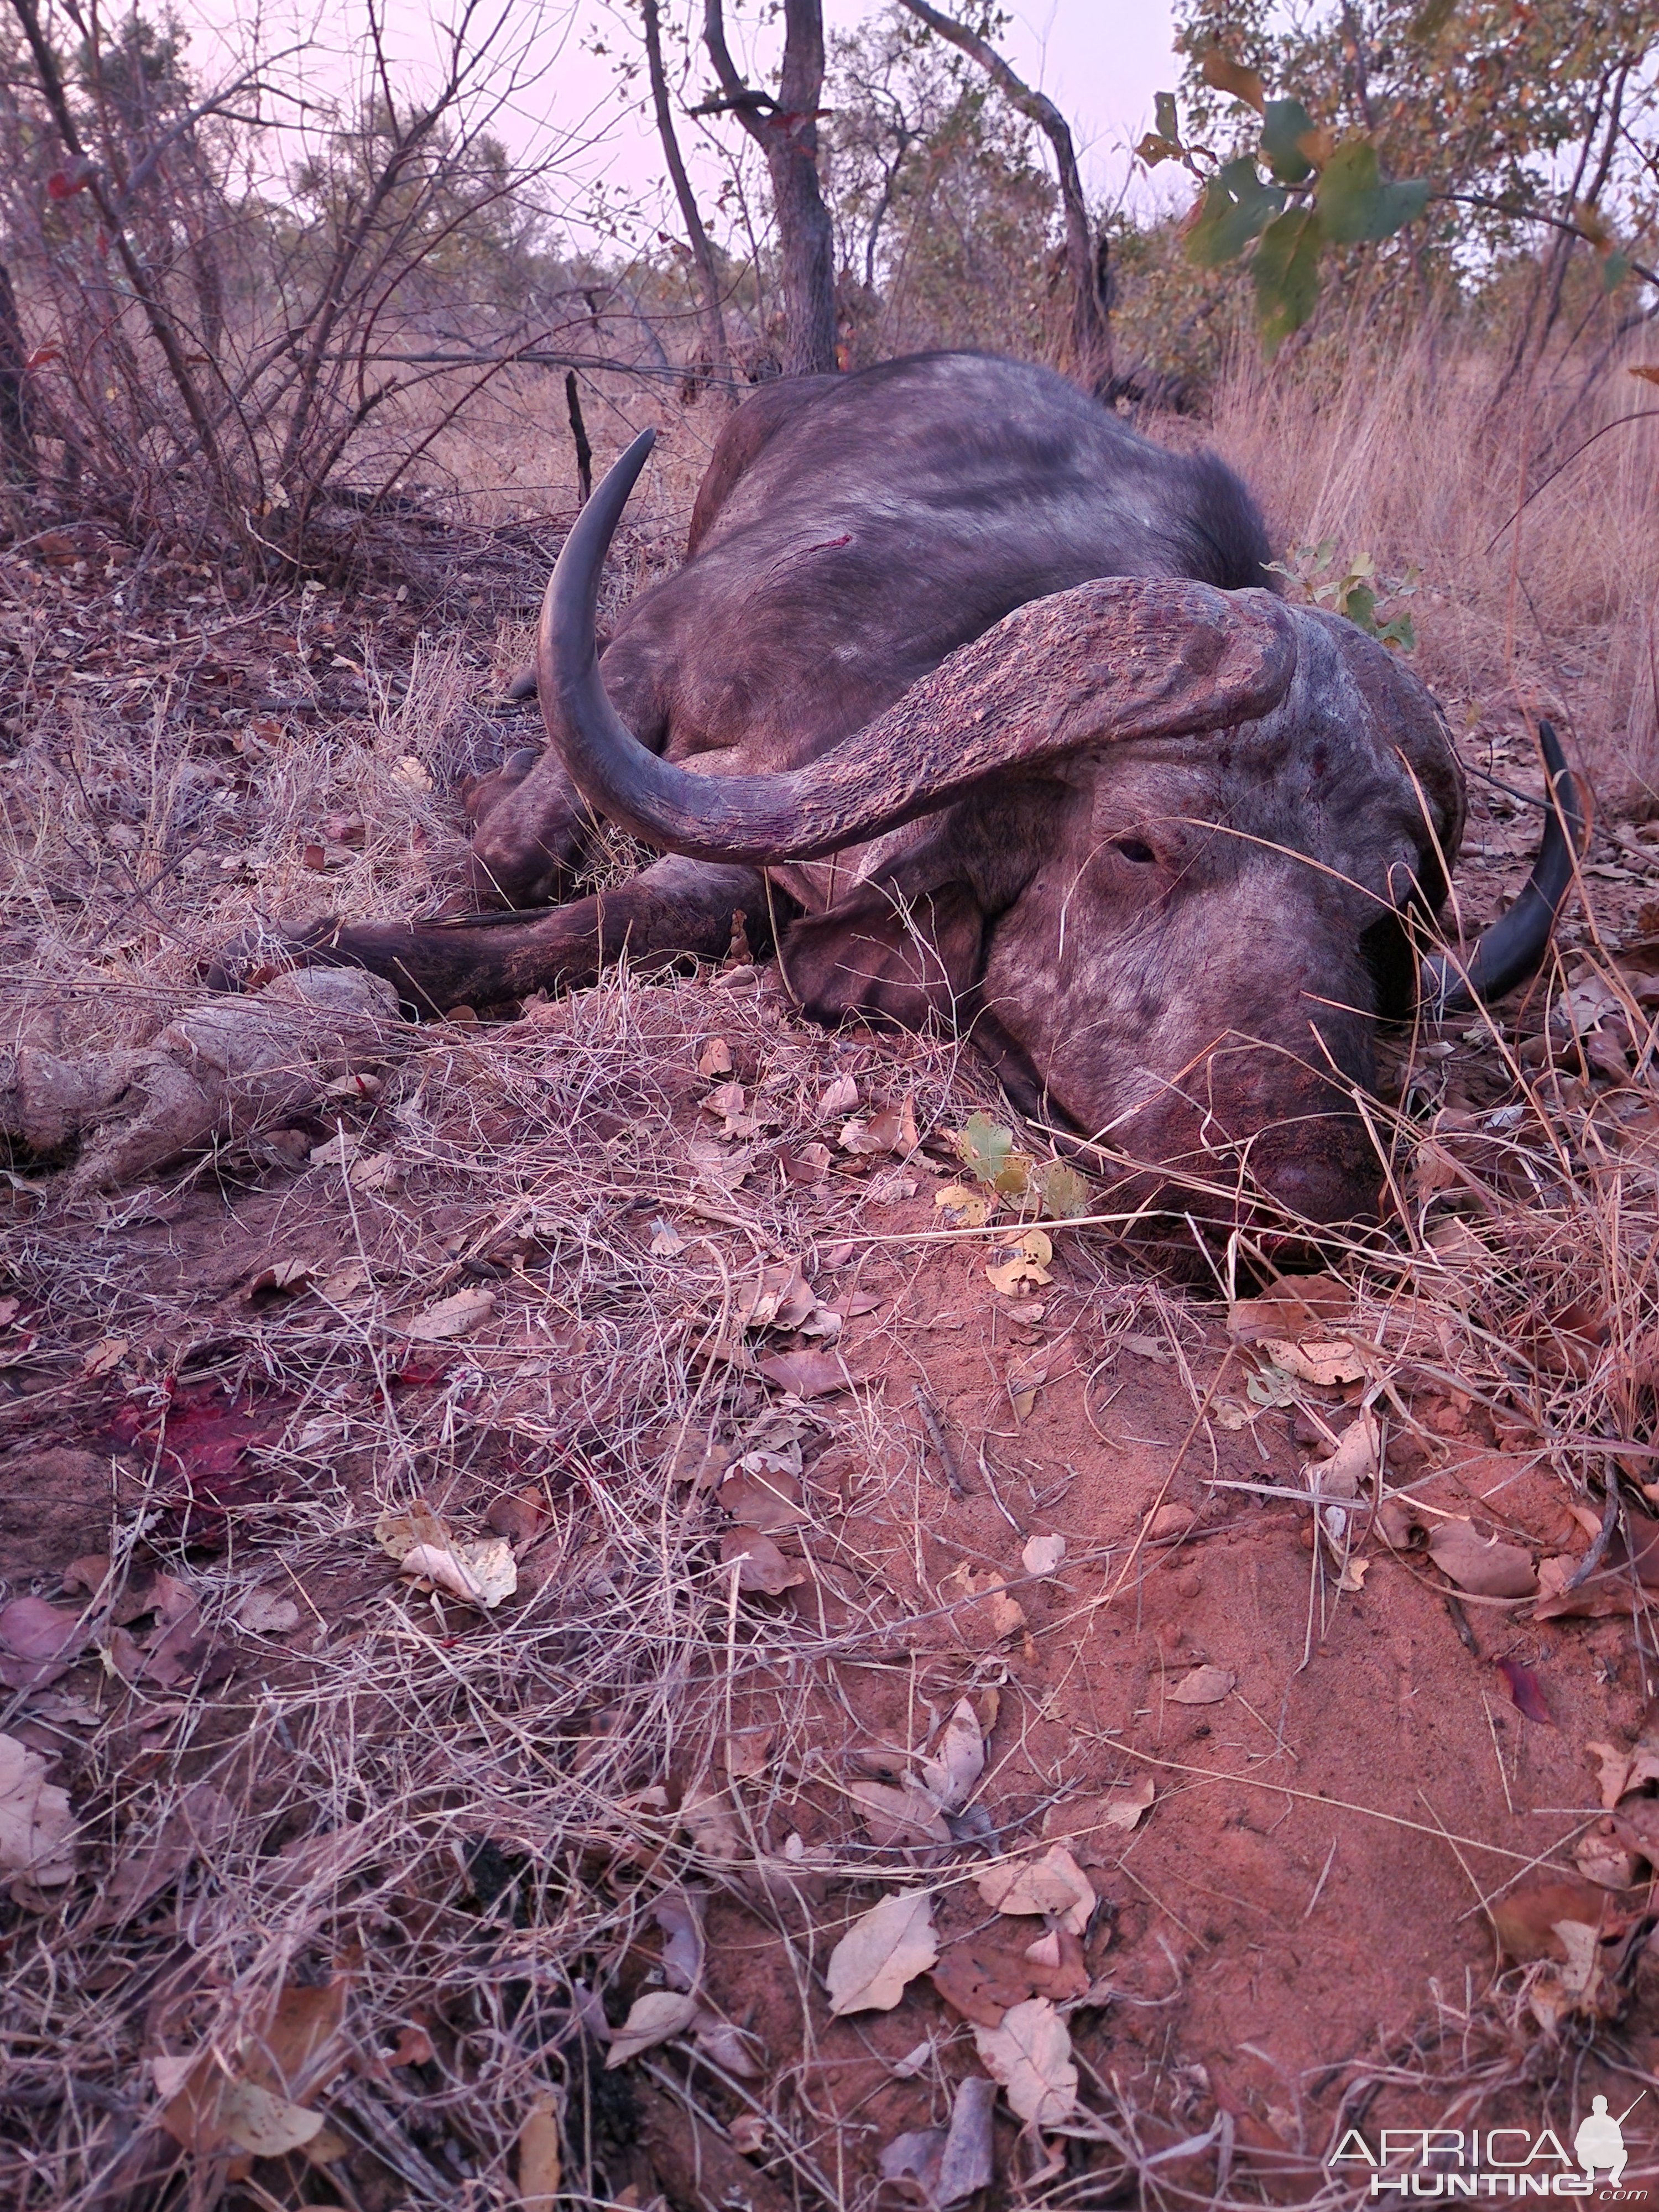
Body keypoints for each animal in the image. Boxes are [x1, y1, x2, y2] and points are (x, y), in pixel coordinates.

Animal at [240, 354, 1593, 1239]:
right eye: (1136, 849)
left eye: (1380, 915)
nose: (1301, 1183)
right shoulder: (649, 654)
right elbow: (509, 864)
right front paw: (316, 949)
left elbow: (644, 912)